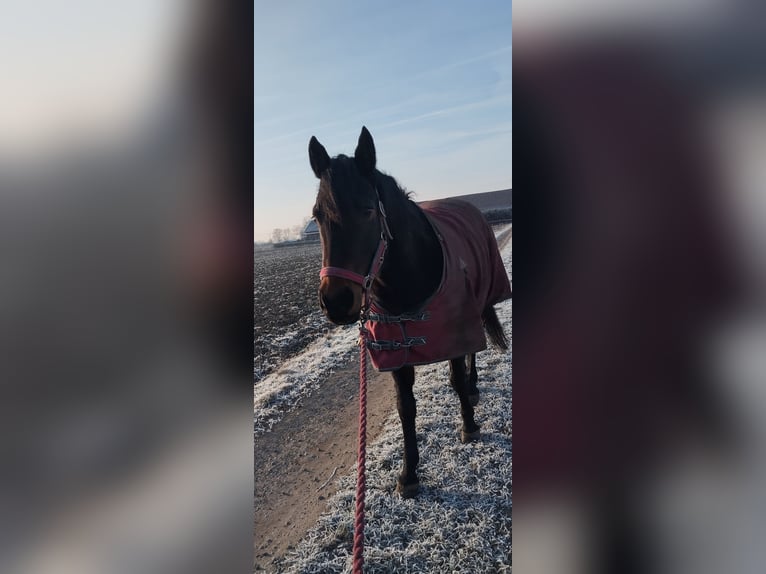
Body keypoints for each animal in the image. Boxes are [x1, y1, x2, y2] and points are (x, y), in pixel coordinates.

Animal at [308, 126, 512, 497]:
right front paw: (409, 473)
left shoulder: (455, 332)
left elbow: (457, 377)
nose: (336, 301)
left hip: (478, 304)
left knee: (474, 353)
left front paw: (469, 425)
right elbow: (405, 407)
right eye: (317, 215)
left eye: (368, 210)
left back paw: (474, 388)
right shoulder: (396, 354)